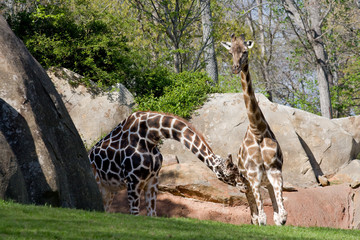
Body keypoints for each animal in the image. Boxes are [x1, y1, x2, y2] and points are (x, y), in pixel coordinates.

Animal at [88, 110, 245, 216]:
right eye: (229, 173)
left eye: (238, 171)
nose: (244, 186)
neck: (150, 137)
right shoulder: (133, 181)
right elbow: (135, 213)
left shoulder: (152, 180)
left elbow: (152, 214)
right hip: (98, 183)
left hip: (108, 190)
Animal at [222, 33, 286, 225]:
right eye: (230, 52)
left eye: (244, 51)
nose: (235, 68)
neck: (258, 131)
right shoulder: (252, 176)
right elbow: (262, 218)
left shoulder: (275, 172)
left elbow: (281, 217)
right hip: (246, 185)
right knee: (255, 216)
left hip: (266, 182)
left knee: (273, 213)